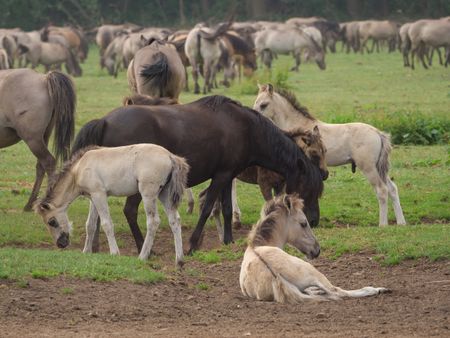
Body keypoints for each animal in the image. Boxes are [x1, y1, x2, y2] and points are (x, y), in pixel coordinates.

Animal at [0, 69, 76, 210]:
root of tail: (44, 78)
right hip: (43, 137)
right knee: (41, 166)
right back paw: (29, 204)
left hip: (33, 139)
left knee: (48, 162)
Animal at [33, 144, 188, 268]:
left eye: (51, 221)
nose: (61, 244)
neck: (79, 168)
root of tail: (170, 156)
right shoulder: (93, 197)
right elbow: (90, 225)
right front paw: (86, 251)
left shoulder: (99, 195)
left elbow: (106, 224)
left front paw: (114, 253)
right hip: (165, 194)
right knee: (175, 220)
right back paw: (179, 260)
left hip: (148, 194)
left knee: (153, 222)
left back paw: (142, 257)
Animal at [70, 95, 324, 254]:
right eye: (309, 190)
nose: (313, 220)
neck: (246, 128)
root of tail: (105, 121)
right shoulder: (220, 176)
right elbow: (207, 207)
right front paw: (193, 244)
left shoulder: (228, 176)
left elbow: (227, 208)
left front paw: (228, 240)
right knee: (130, 211)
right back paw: (145, 248)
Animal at [239, 194, 390, 302]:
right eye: (303, 223)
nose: (317, 250)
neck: (257, 246)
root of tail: (275, 276)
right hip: (314, 272)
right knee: (338, 292)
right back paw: (378, 289)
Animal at [255, 84, 406, 227]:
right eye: (256, 102)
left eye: (264, 105)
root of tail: (377, 133)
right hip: (379, 168)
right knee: (392, 189)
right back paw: (401, 222)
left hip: (369, 168)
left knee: (382, 190)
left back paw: (383, 224)